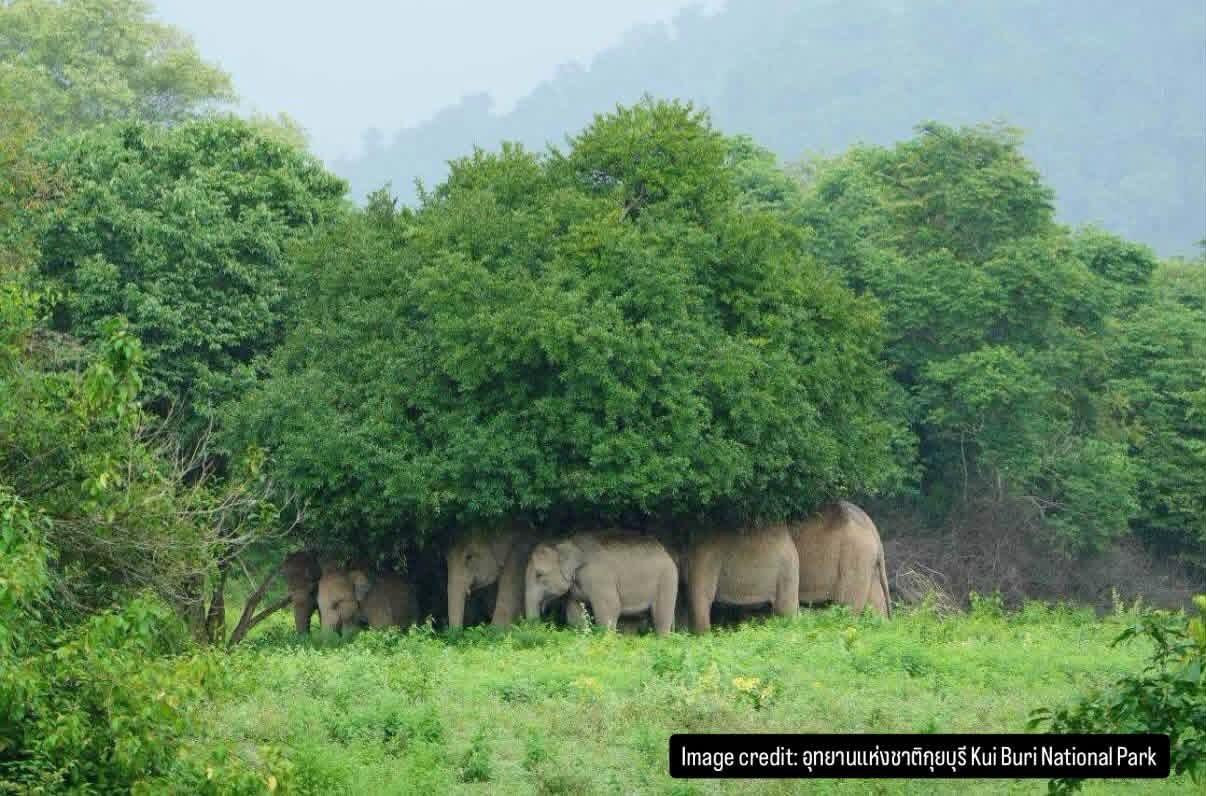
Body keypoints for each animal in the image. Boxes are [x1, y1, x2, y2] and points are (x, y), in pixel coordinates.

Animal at [525, 532, 679, 636]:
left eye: (539, 574)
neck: (566, 543)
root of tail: (666, 552)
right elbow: (575, 612)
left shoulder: (599, 578)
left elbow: (610, 607)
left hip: (668, 579)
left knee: (661, 616)